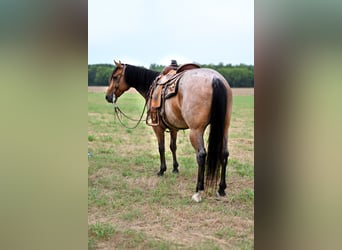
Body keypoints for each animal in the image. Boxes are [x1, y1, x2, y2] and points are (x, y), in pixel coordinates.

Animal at [104, 61, 232, 203]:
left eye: (115, 77)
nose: (108, 96)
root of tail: (215, 79)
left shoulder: (158, 127)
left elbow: (161, 148)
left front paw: (162, 170)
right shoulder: (173, 128)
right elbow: (173, 147)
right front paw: (175, 168)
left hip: (196, 131)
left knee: (201, 155)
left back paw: (198, 191)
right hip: (224, 127)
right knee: (224, 153)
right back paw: (221, 189)